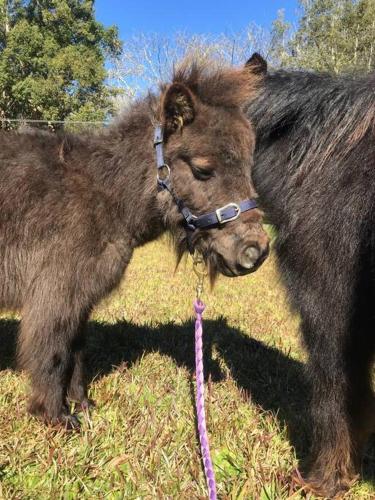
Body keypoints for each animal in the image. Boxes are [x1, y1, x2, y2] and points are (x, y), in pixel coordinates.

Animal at [0, 60, 270, 430]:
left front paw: (82, 405)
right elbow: (54, 353)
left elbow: (76, 351)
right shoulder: (55, 295)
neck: (106, 193)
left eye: (248, 166)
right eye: (203, 170)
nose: (256, 252)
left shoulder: (79, 299)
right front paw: (56, 417)